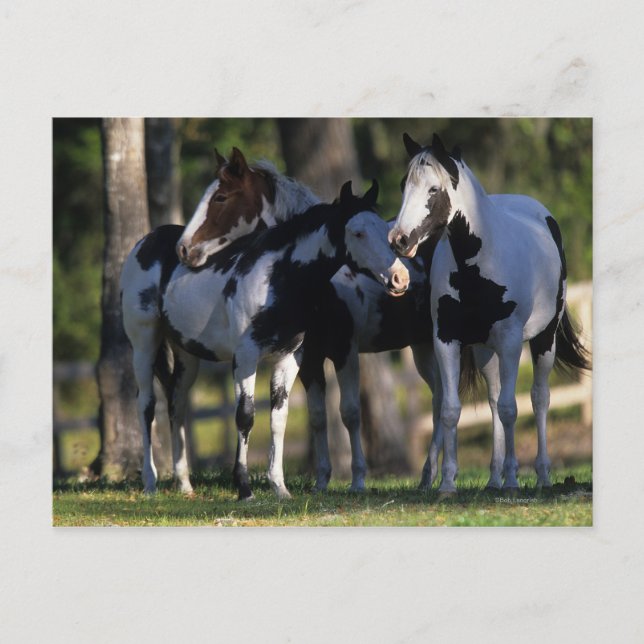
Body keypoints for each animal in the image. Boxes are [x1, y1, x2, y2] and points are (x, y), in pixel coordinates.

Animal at [121, 178, 410, 500]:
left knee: (176, 403)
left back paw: (184, 484)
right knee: (146, 405)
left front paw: (279, 487)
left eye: (384, 230)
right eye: (358, 232)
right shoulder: (246, 357)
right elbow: (245, 416)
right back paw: (150, 483)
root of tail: (146, 242)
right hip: (143, 343)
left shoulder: (289, 359)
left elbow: (278, 419)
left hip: (187, 354)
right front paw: (244, 488)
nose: (400, 278)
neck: (278, 278)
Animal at [389, 132, 591, 494]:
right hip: (485, 351)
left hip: (544, 340)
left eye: (433, 189)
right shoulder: (447, 340)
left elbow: (512, 409)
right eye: (403, 184)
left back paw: (539, 475)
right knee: (494, 400)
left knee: (539, 399)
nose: (399, 240)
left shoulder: (510, 341)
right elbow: (451, 410)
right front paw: (448, 483)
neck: (477, 264)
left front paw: (513, 480)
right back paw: (494, 478)